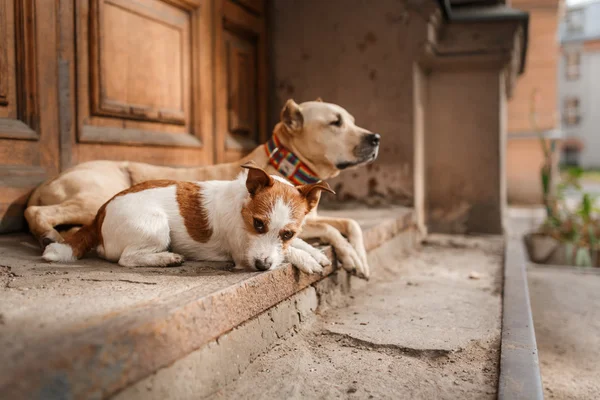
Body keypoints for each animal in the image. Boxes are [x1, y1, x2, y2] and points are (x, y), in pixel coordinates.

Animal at [42, 162, 332, 272]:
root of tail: (100, 213)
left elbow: (295, 245)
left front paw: (314, 253)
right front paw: (307, 260)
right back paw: (166, 258)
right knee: (127, 259)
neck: (242, 207)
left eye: (287, 232)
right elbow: (289, 252)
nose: (262, 266)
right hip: (157, 225)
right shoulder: (242, 254)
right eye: (257, 224)